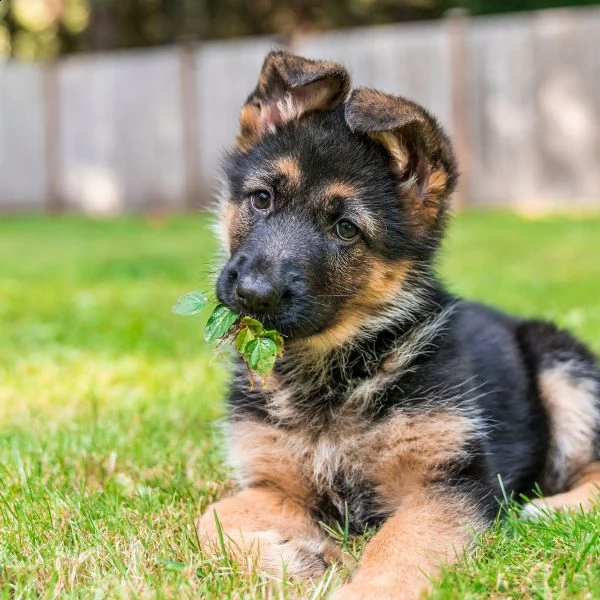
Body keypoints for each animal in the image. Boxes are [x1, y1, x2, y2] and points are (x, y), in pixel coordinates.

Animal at [197, 52, 600, 600]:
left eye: (346, 229)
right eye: (261, 199)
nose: (254, 294)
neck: (334, 372)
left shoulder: (451, 485)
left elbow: (399, 545)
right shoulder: (275, 483)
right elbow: (211, 518)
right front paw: (297, 560)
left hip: (562, 368)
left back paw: (550, 508)